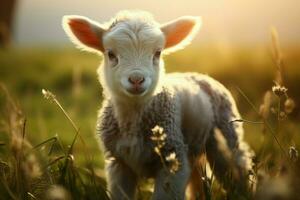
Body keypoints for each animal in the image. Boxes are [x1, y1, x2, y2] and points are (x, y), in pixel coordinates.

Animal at [63, 10, 255, 200]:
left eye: (157, 53)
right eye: (111, 54)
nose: (136, 79)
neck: (133, 120)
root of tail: (201, 75)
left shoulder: (172, 161)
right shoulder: (119, 164)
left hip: (226, 140)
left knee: (238, 171)